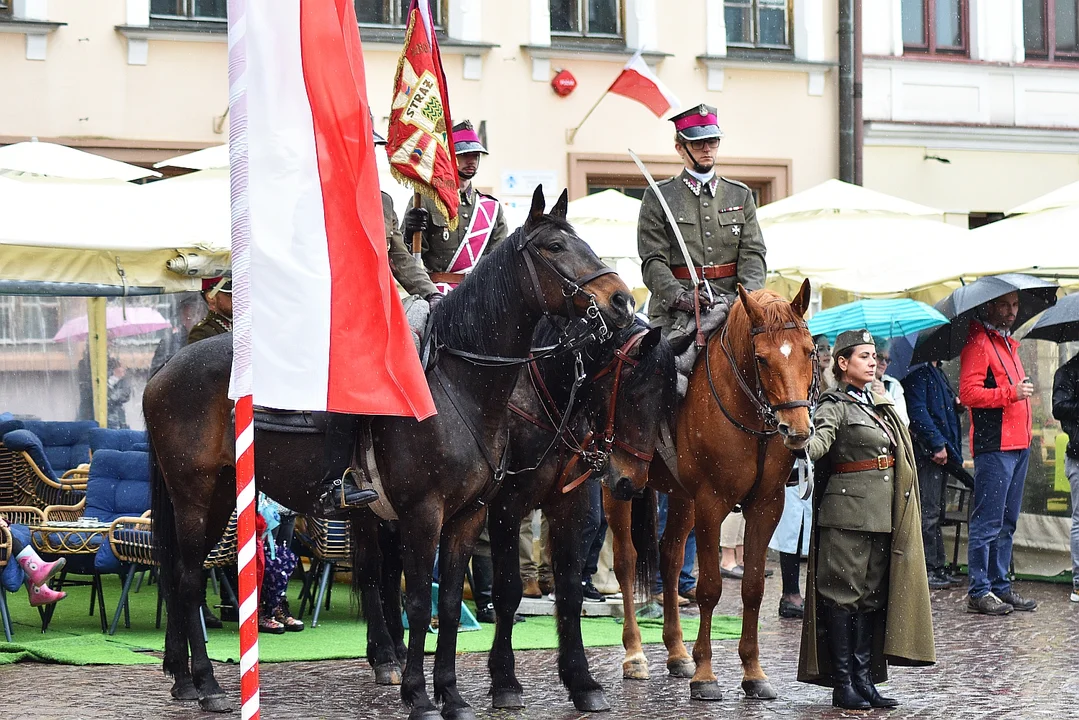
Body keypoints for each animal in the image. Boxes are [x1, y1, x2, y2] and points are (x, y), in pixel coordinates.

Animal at [143, 187, 630, 720]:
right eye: (554, 247)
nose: (621, 299)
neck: (462, 384)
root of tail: (168, 365)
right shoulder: (430, 512)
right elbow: (420, 600)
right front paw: (421, 695)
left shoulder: (470, 515)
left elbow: (449, 603)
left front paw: (453, 695)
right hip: (196, 497)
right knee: (189, 578)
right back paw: (208, 684)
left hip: (221, 497)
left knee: (183, 575)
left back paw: (186, 678)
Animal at [608, 278, 815, 699]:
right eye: (762, 358)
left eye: (810, 352)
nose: (797, 430)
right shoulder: (711, 504)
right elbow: (710, 588)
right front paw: (705, 674)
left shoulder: (766, 506)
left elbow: (752, 588)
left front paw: (753, 672)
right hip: (616, 483)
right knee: (626, 560)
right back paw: (635, 653)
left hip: (680, 497)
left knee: (670, 560)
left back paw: (676, 652)